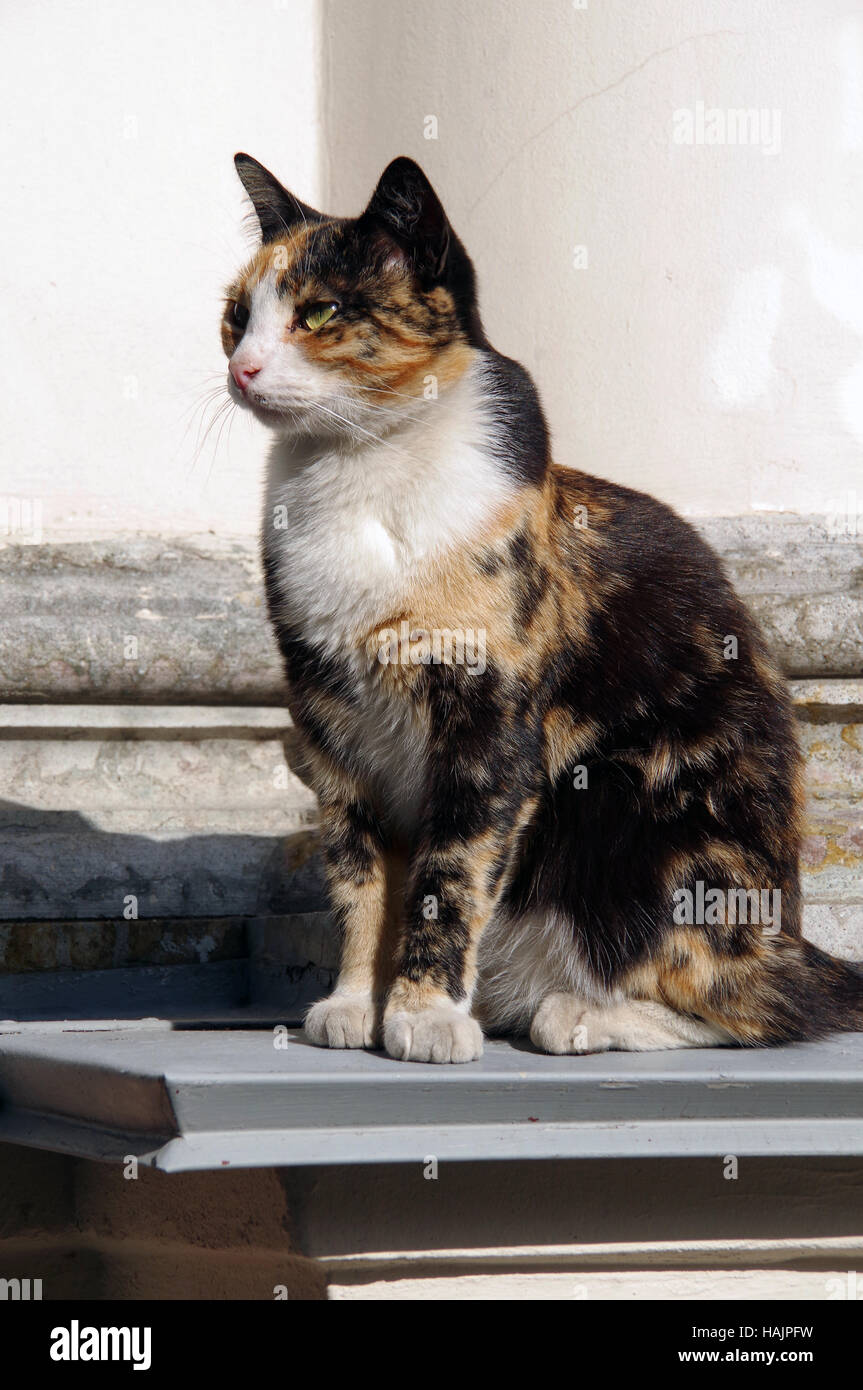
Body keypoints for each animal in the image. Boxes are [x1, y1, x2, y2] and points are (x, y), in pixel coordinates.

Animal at [223, 152, 861, 1056]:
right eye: (236, 317)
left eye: (319, 312)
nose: (240, 368)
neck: (362, 475)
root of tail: (794, 936)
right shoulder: (329, 722)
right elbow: (359, 877)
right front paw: (353, 1003)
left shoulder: (489, 721)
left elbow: (447, 875)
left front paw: (423, 1015)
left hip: (632, 812)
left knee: (759, 1007)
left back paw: (577, 1013)